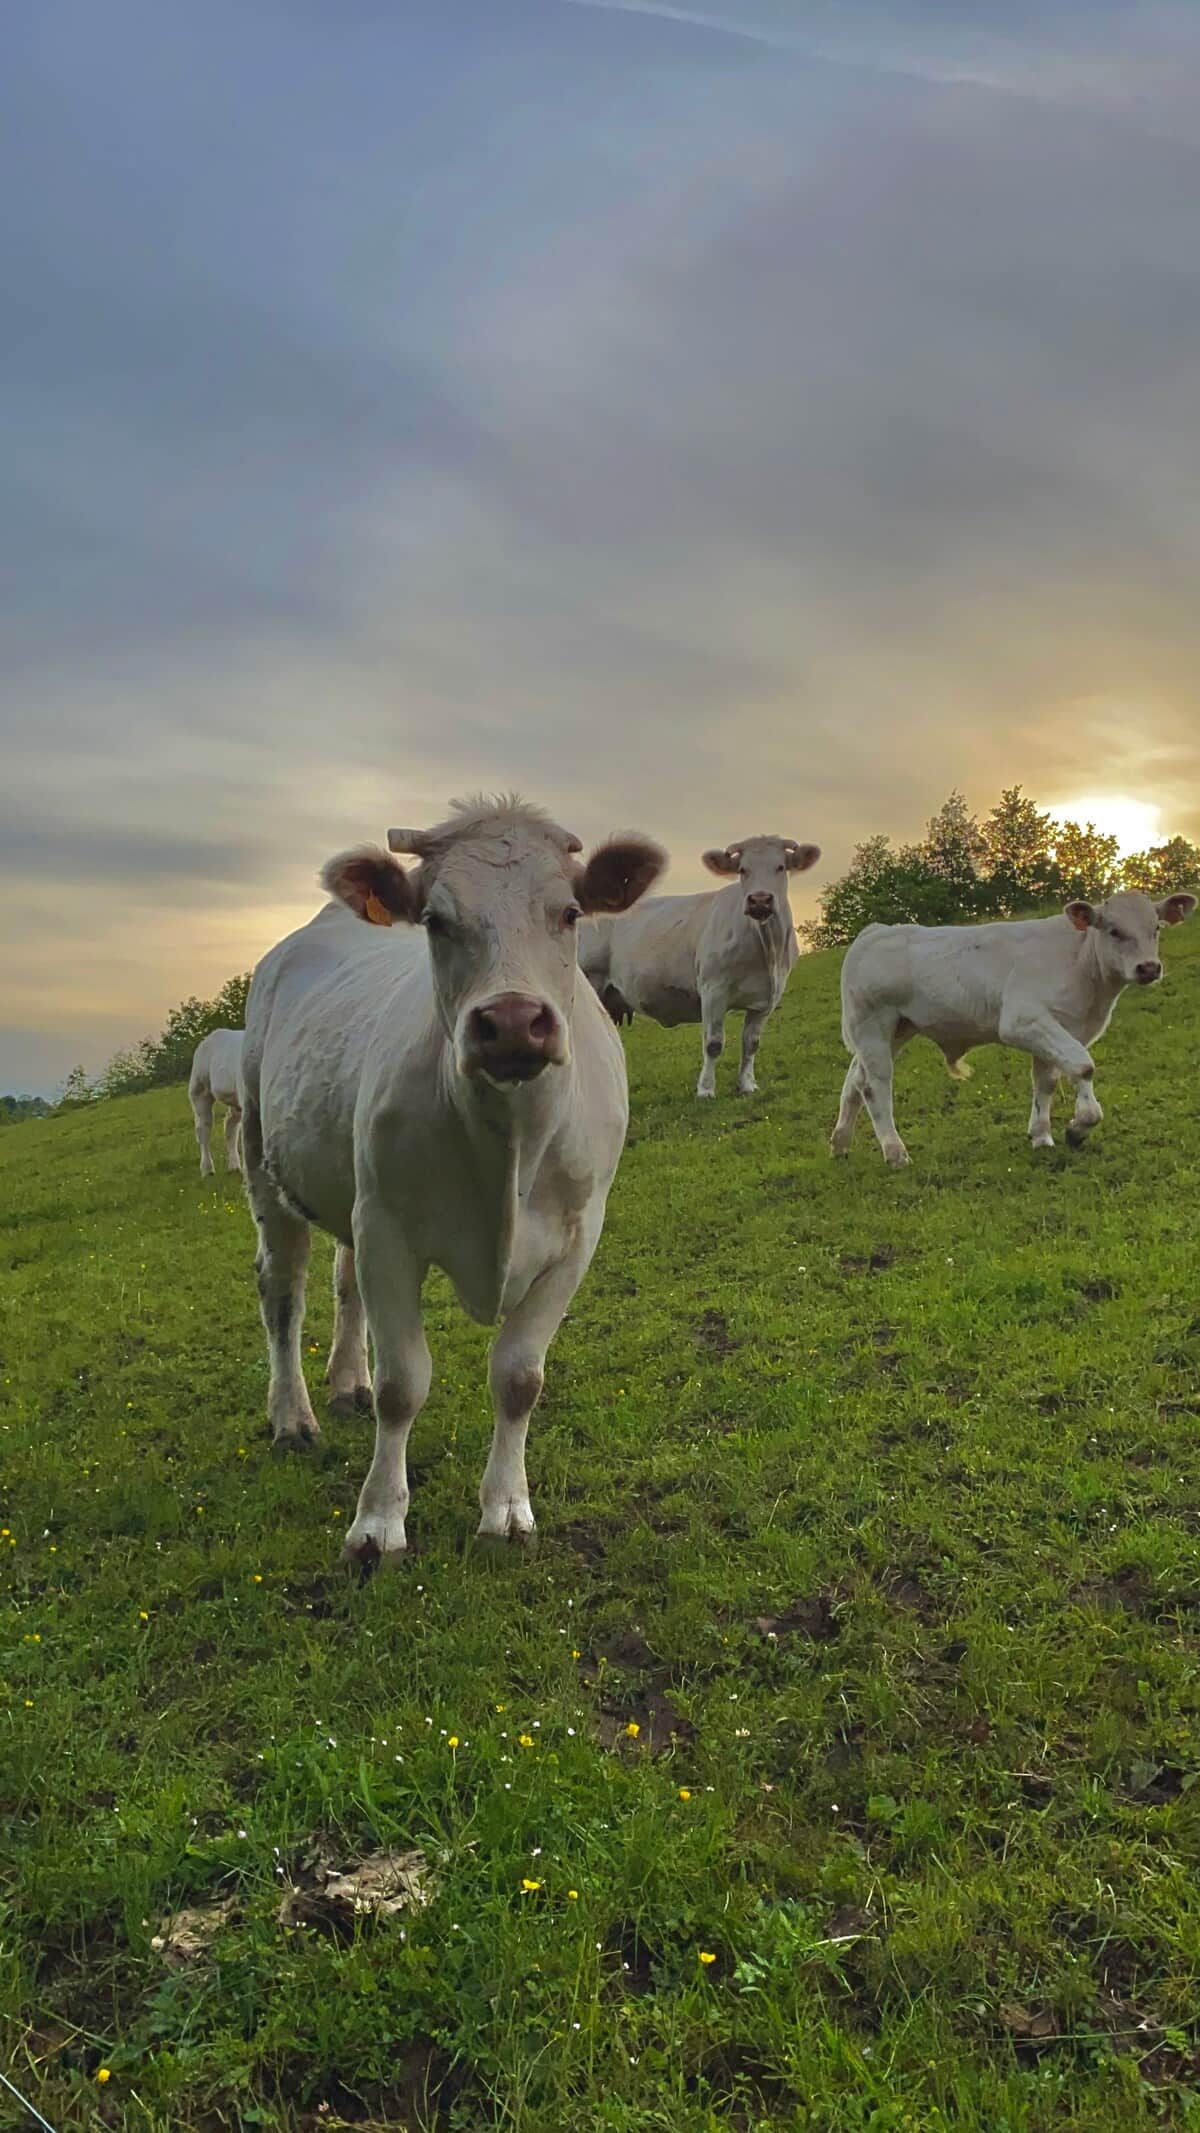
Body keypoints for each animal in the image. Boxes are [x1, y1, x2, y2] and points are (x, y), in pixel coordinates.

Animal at [239, 797, 666, 1562]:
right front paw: (378, 1522)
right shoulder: (388, 1229)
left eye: (569, 912)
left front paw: (506, 1509)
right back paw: (293, 1416)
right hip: (267, 1167)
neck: (509, 1143)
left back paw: (346, 1381)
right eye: (436, 920)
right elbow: (403, 1383)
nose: (513, 1022)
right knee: (282, 1291)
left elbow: (519, 1377)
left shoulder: (577, 1237)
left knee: (342, 1282)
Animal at [578, 835, 821, 1097]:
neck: (766, 951)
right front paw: (705, 1089)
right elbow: (713, 1044)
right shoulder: (713, 989)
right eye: (742, 869)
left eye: (781, 867)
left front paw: (747, 1085)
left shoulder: (768, 998)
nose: (759, 900)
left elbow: (751, 1044)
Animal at [832, 888, 1197, 1166]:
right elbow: (1083, 1066)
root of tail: (874, 930)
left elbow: (1047, 1082)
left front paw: (1042, 1135)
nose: (1148, 967)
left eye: (1156, 928)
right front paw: (1079, 1126)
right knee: (874, 1085)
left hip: (897, 1029)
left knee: (854, 1080)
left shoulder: (1061, 1028)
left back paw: (840, 1144)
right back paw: (895, 1153)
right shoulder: (1023, 1020)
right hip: (873, 1025)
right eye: (1114, 931)